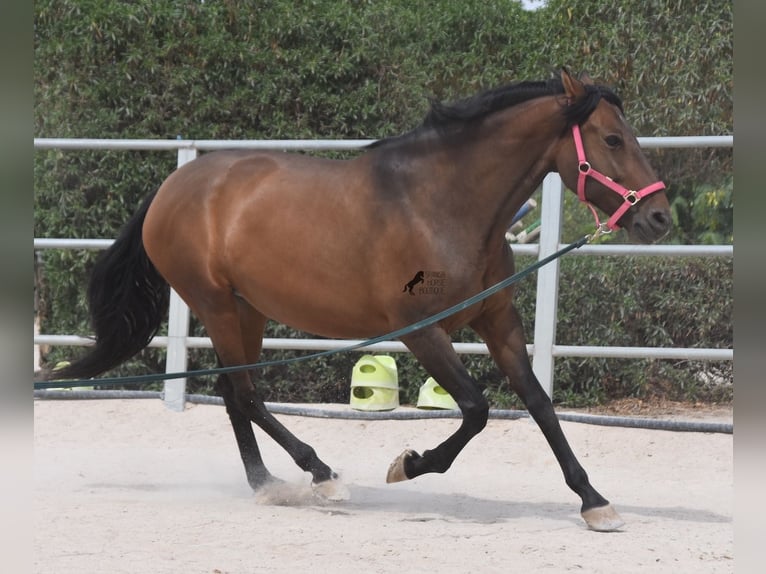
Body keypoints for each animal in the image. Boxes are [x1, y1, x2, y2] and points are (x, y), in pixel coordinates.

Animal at [52, 70, 672, 532]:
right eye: (612, 140)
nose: (659, 217)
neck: (439, 204)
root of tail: (171, 188)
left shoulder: (498, 320)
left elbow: (539, 404)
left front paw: (595, 501)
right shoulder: (421, 329)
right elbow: (476, 408)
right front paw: (410, 465)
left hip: (247, 310)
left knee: (234, 395)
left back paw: (268, 485)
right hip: (217, 305)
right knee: (247, 395)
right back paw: (321, 476)